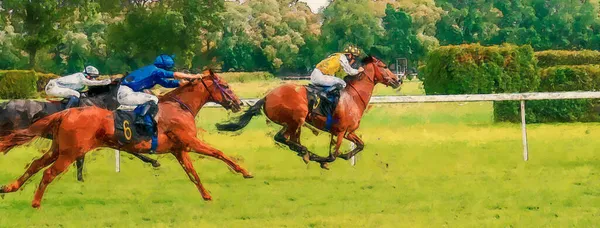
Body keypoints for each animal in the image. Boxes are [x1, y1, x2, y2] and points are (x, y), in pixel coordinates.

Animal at [217, 55, 404, 169]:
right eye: (384, 66)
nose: (398, 80)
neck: (352, 96)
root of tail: (267, 96)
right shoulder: (341, 131)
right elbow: (332, 155)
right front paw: (323, 160)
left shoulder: (348, 132)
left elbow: (360, 145)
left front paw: (345, 156)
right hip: (296, 119)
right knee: (282, 138)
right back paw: (307, 153)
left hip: (292, 123)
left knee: (287, 139)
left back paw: (304, 152)